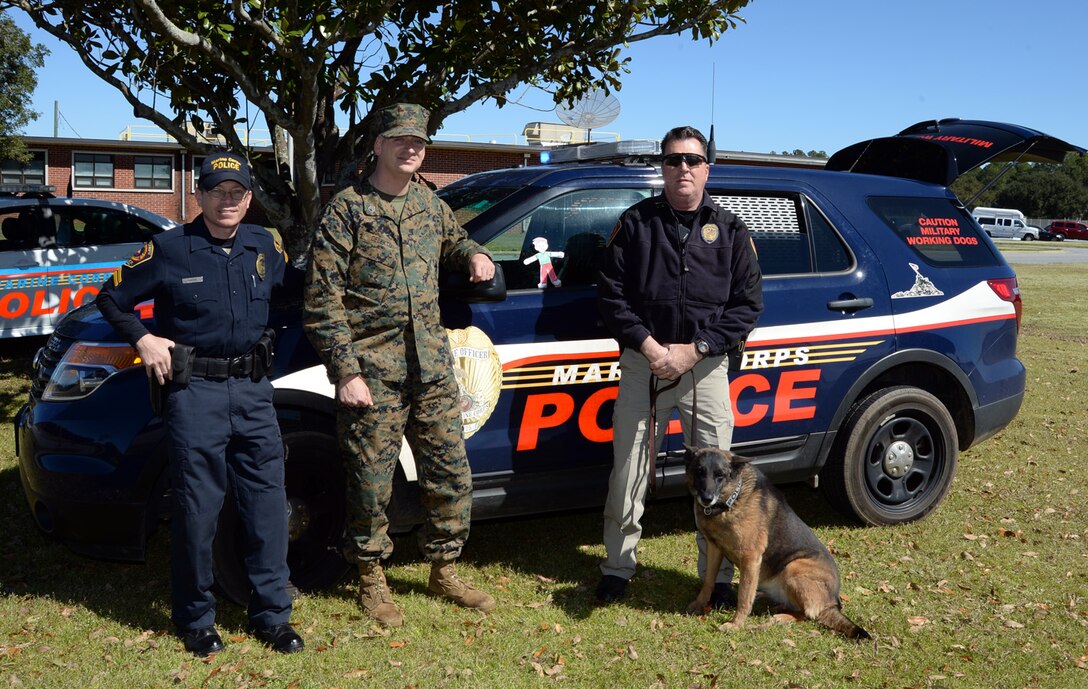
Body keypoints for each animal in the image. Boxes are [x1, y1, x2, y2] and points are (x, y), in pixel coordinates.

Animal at [687, 446, 866, 640]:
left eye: (720, 475)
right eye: (699, 472)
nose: (706, 498)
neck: (731, 501)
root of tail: (833, 601)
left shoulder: (751, 557)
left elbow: (743, 596)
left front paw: (736, 624)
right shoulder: (714, 548)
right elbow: (709, 581)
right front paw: (699, 603)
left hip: (793, 567)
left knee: (807, 614)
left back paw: (779, 617)